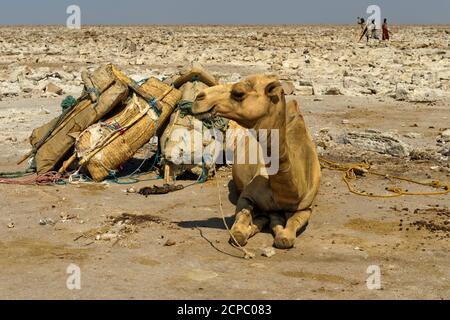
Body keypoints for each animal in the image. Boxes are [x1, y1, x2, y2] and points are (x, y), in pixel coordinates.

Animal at [192, 75, 322, 250]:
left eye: (239, 93)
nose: (199, 98)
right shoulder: (247, 195)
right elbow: (239, 232)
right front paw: (250, 228)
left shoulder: (306, 207)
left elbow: (286, 236)